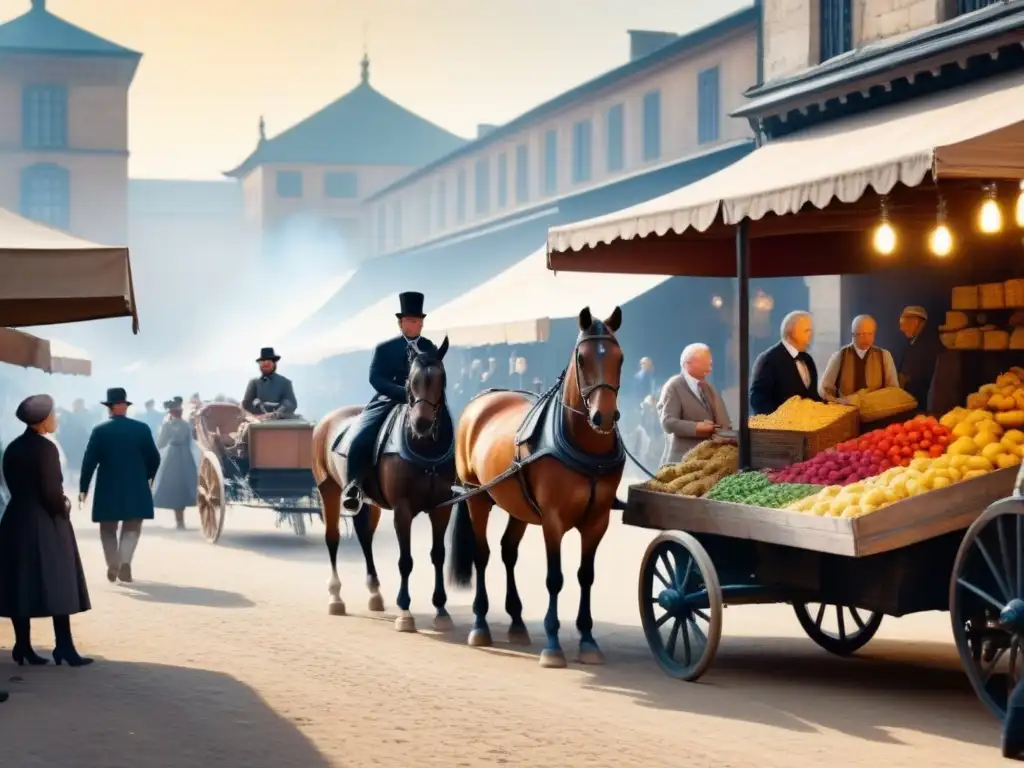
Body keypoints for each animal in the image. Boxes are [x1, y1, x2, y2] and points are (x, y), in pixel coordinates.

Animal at [309, 339, 458, 634]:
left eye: (442, 378)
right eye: (410, 380)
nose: (422, 423)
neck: (425, 448)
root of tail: (326, 420)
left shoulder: (441, 508)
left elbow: (438, 554)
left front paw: (441, 609)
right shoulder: (403, 509)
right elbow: (406, 560)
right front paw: (405, 613)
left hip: (368, 502)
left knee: (365, 537)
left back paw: (375, 593)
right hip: (327, 489)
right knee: (332, 538)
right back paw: (336, 597)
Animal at [448, 307, 622, 667]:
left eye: (620, 357)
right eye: (582, 358)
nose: (603, 416)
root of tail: (480, 399)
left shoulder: (597, 521)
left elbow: (586, 575)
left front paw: (587, 639)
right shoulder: (553, 521)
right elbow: (555, 579)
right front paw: (553, 643)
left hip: (518, 506)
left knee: (508, 551)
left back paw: (516, 621)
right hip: (477, 498)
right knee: (482, 554)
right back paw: (480, 623)